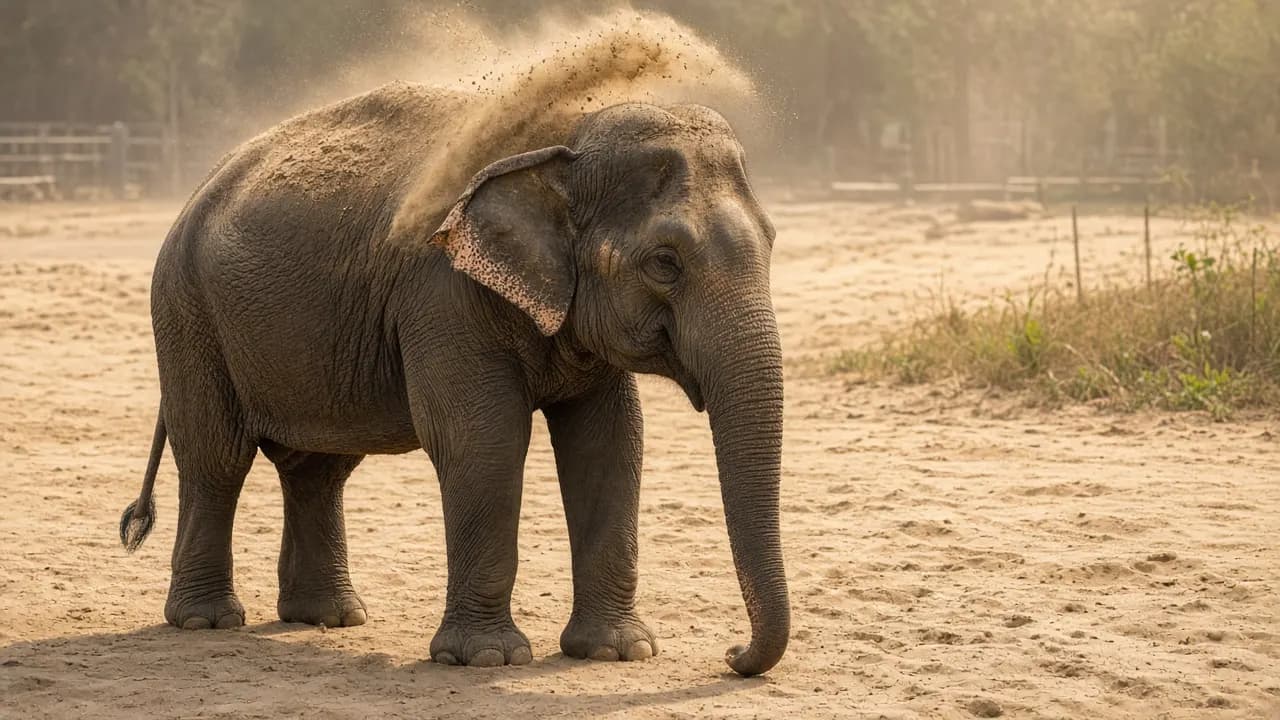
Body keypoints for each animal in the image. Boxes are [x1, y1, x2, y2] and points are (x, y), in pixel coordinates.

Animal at [118, 81, 788, 676]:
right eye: (664, 263)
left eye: (772, 242)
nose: (731, 654)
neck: (567, 139)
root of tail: (198, 190)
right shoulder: (443, 295)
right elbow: (482, 441)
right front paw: (486, 659)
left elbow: (610, 443)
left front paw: (616, 653)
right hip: (186, 310)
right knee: (216, 457)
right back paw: (206, 621)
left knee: (317, 468)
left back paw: (329, 618)